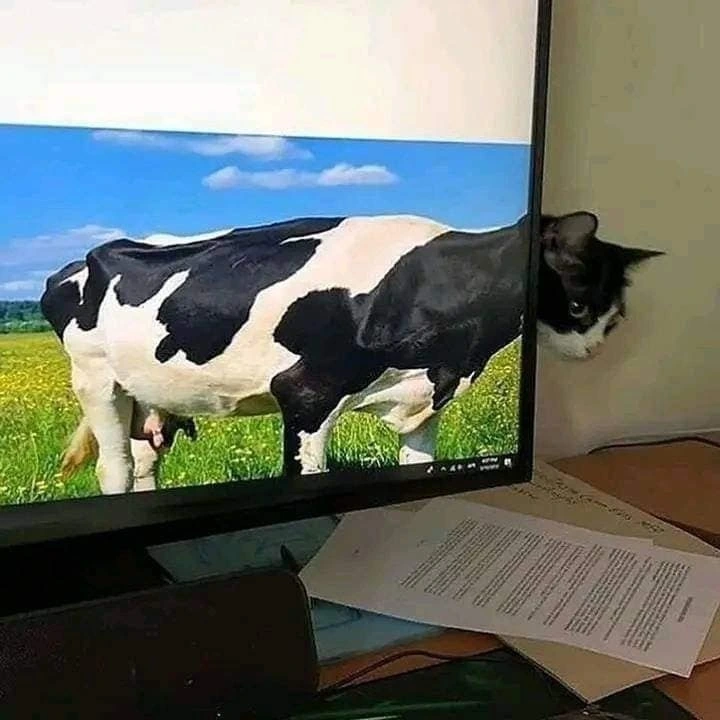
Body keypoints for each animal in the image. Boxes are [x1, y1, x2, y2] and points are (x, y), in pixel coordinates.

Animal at [41, 213, 531, 494]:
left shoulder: (424, 401)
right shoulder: (305, 393)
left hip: (151, 394)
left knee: (145, 463)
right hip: (97, 379)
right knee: (115, 469)